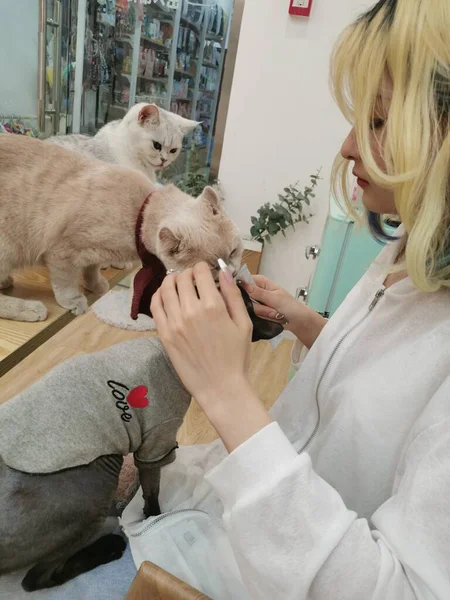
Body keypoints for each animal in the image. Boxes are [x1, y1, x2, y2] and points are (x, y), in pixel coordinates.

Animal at [0, 136, 243, 324]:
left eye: (233, 251)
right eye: (212, 267)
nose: (231, 273)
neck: (139, 212)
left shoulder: (90, 252)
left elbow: (91, 268)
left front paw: (96, 285)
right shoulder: (61, 252)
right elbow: (65, 282)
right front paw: (74, 300)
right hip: (7, 247)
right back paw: (30, 309)